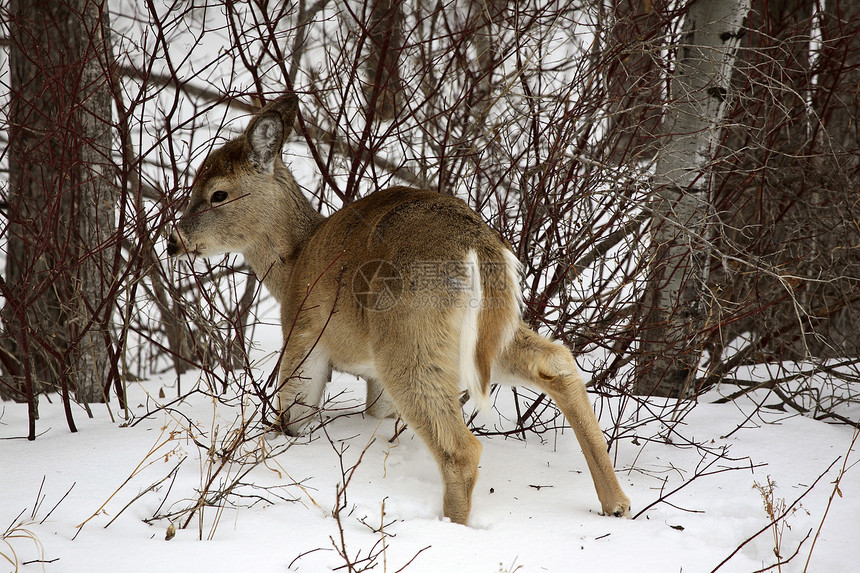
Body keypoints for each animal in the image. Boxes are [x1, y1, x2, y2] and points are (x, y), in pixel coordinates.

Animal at [170, 92, 632, 524]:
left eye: (217, 194)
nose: (174, 240)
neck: (294, 261)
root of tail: (478, 249)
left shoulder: (304, 334)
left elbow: (295, 413)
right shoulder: (374, 381)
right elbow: (376, 414)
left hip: (408, 336)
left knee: (461, 449)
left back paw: (451, 526)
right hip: (484, 336)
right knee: (557, 361)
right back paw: (617, 503)